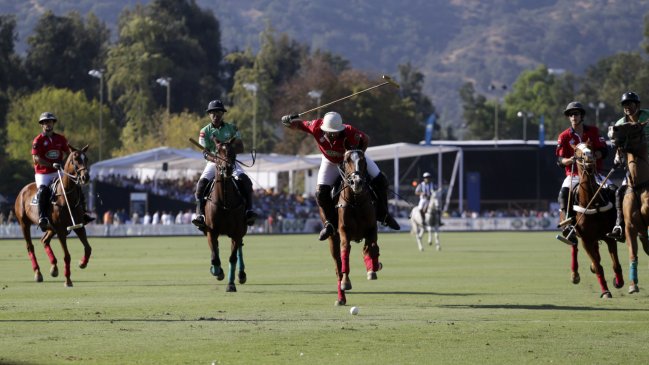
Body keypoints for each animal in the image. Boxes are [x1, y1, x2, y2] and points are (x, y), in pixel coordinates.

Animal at [13, 144, 92, 286]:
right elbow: (67, 255)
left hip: (50, 227)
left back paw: (54, 268)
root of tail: (23, 190)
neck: (66, 196)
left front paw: (82, 263)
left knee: (44, 240)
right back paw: (38, 273)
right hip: (24, 223)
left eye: (86, 158)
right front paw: (68, 280)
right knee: (30, 247)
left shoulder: (79, 225)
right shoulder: (61, 230)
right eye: (75, 159)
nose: (85, 177)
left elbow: (88, 248)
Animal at [202, 138, 246, 292]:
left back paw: (241, 274)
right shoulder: (211, 231)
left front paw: (231, 284)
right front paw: (217, 271)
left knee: (239, 248)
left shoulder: (237, 232)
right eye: (217, 151)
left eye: (233, 151)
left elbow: (232, 257)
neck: (225, 201)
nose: (227, 168)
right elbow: (215, 256)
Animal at [330, 148, 380, 304]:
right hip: (332, 239)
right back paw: (341, 298)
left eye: (363, 160)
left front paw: (373, 268)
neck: (356, 201)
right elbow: (345, 250)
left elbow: (372, 247)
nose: (357, 182)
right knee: (338, 267)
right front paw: (346, 282)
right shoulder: (343, 231)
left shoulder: (372, 227)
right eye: (346, 160)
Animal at [568, 141, 620, 298]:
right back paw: (575, 275)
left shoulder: (609, 237)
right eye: (576, 152)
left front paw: (618, 281)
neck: (592, 202)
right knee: (574, 245)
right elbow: (598, 267)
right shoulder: (586, 240)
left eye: (590, 147)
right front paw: (605, 291)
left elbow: (615, 264)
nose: (589, 158)